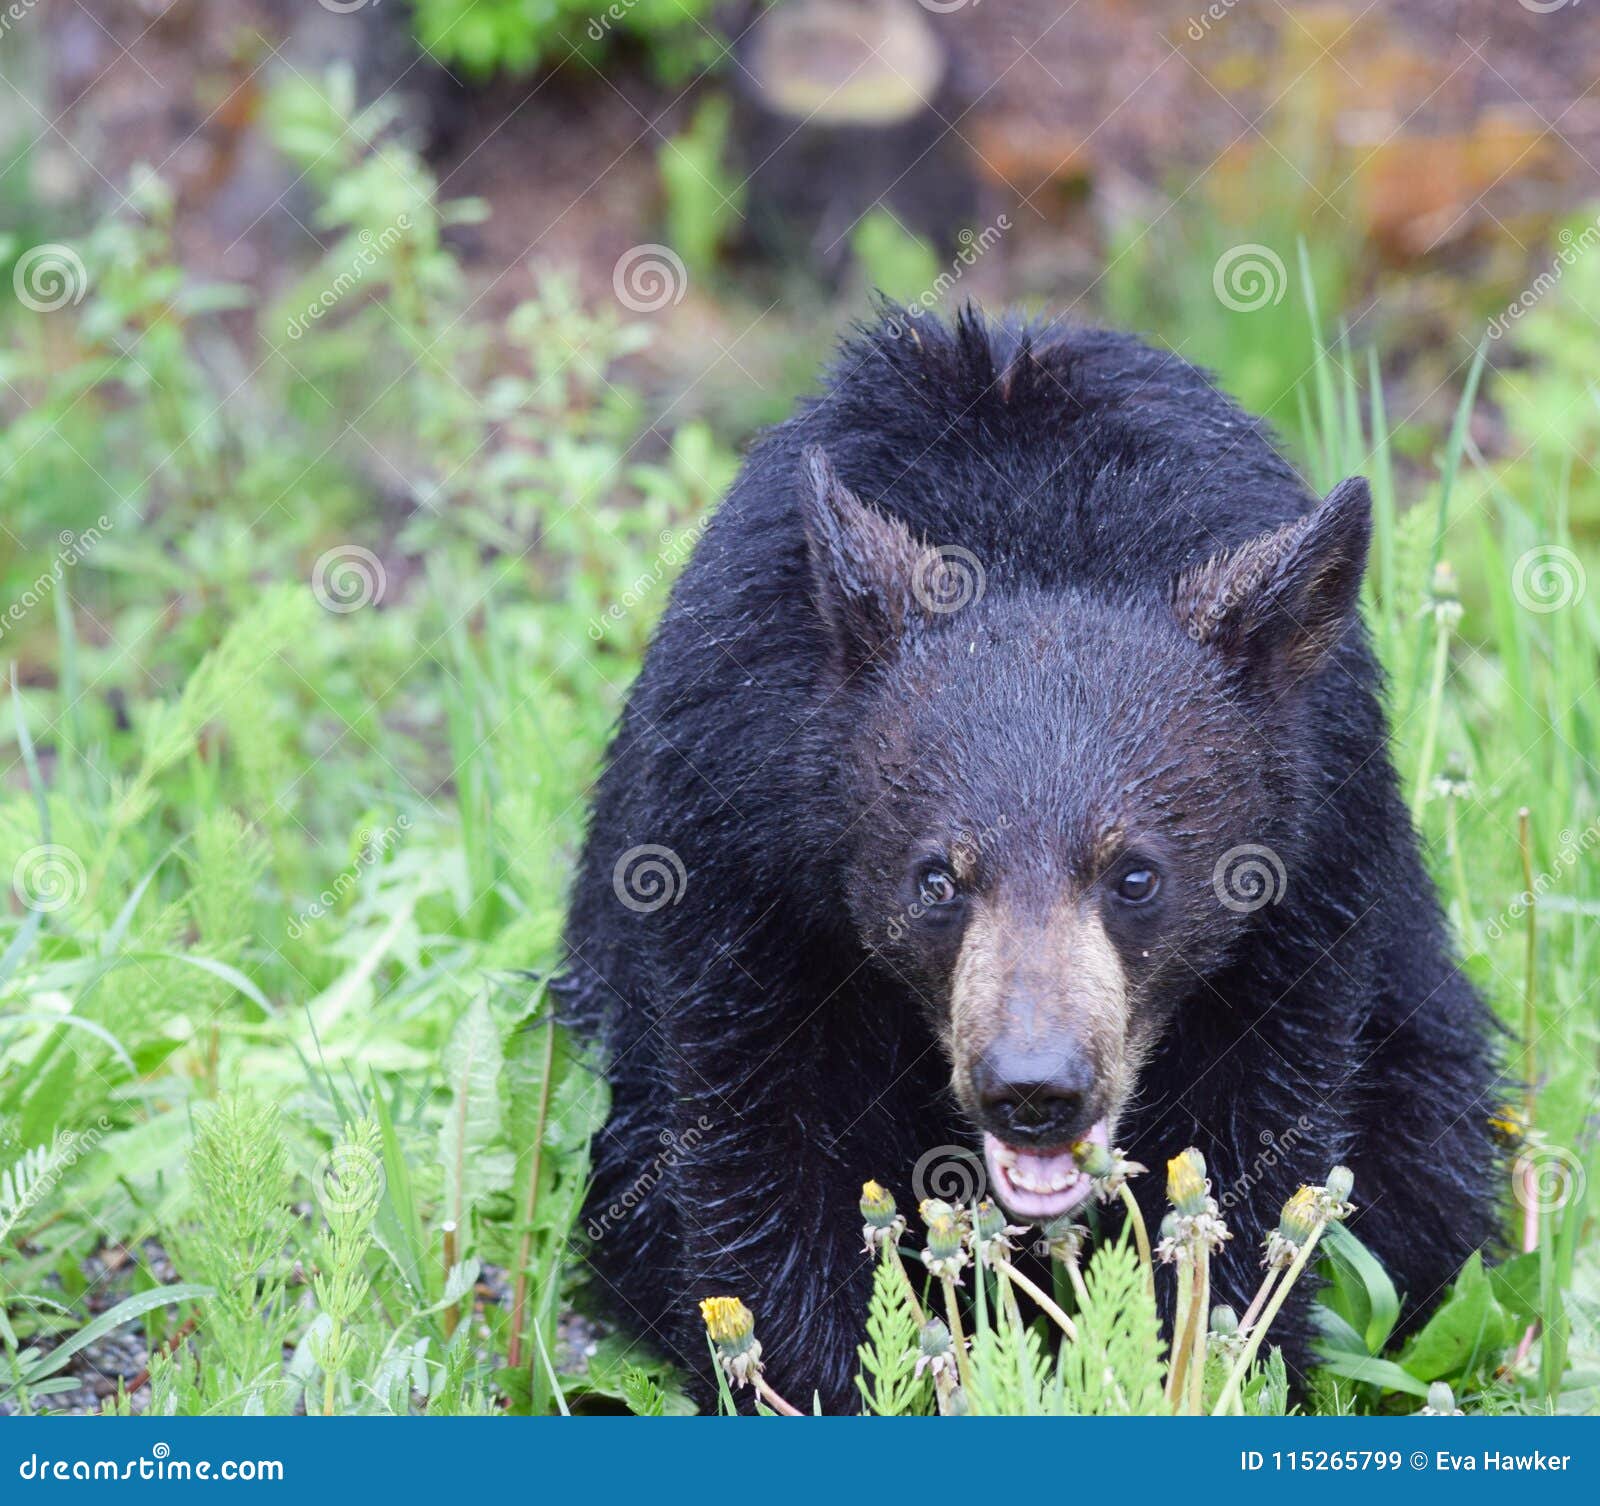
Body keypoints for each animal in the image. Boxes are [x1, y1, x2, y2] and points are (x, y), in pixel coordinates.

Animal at [560, 305, 1497, 1408]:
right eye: (935, 877)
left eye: (1135, 874)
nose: (1034, 1088)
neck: (1036, 534)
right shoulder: (732, 847)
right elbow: (755, 1141)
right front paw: (823, 1382)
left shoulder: (1313, 877)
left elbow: (1252, 1136)